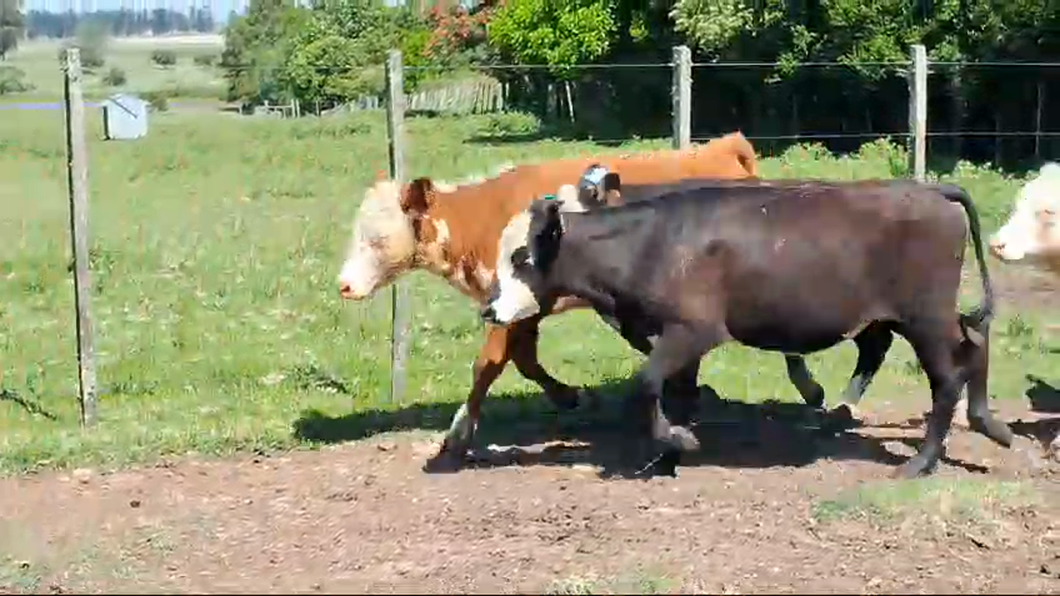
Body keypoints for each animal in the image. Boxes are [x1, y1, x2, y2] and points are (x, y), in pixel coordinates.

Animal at [485, 173, 1013, 475]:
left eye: (521, 256)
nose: (488, 310)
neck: (650, 242)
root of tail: (928, 189)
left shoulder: (692, 330)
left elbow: (647, 383)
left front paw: (678, 441)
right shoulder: (677, 340)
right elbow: (677, 393)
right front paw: (669, 455)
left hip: (924, 317)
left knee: (948, 375)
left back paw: (921, 462)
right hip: (928, 316)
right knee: (974, 340)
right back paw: (990, 425)